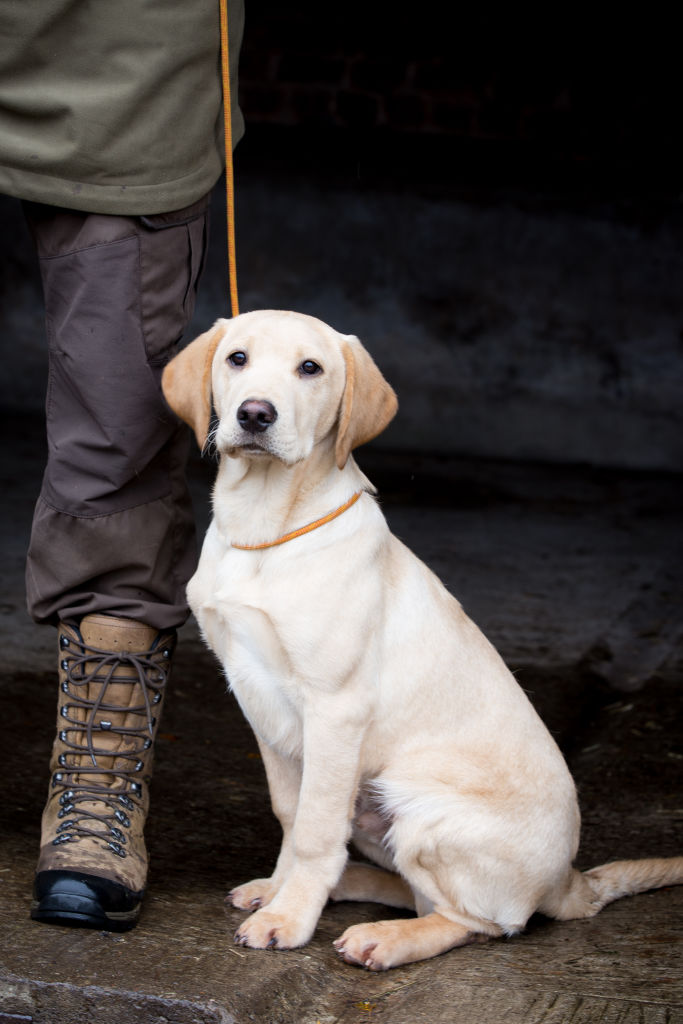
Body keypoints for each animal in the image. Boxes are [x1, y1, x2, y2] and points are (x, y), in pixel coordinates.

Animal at [161, 311, 683, 966]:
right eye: (237, 359)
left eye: (311, 368)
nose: (255, 414)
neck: (265, 530)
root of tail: (568, 880)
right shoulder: (260, 700)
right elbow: (291, 812)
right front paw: (283, 892)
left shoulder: (334, 709)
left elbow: (314, 830)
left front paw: (290, 916)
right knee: (412, 892)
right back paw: (340, 888)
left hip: (419, 809)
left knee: (474, 920)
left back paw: (383, 937)